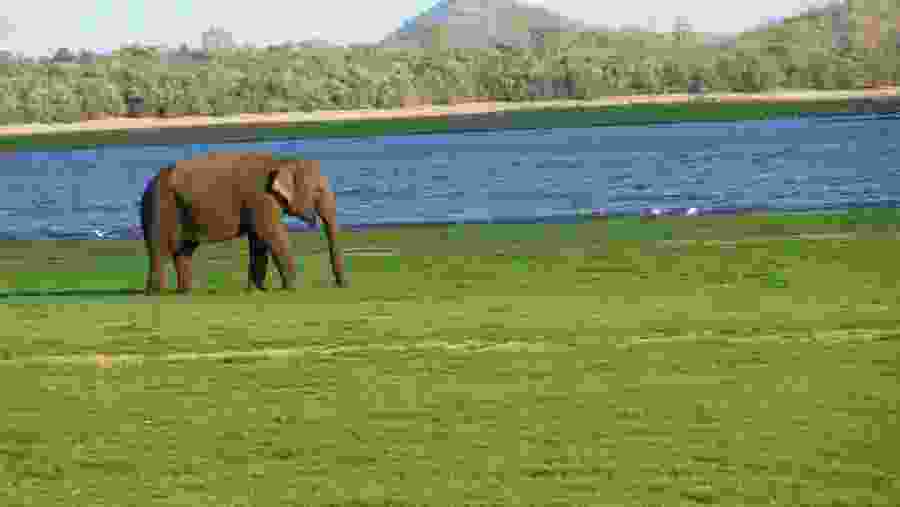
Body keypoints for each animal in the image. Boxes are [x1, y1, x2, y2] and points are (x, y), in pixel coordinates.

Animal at [139, 151, 346, 294]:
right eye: (318, 192)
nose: (342, 285)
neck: (282, 160)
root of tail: (148, 185)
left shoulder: (258, 204)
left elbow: (258, 241)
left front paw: (257, 290)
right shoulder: (261, 198)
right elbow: (272, 235)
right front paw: (292, 288)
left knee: (184, 251)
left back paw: (185, 292)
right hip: (160, 207)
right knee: (159, 250)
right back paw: (155, 293)